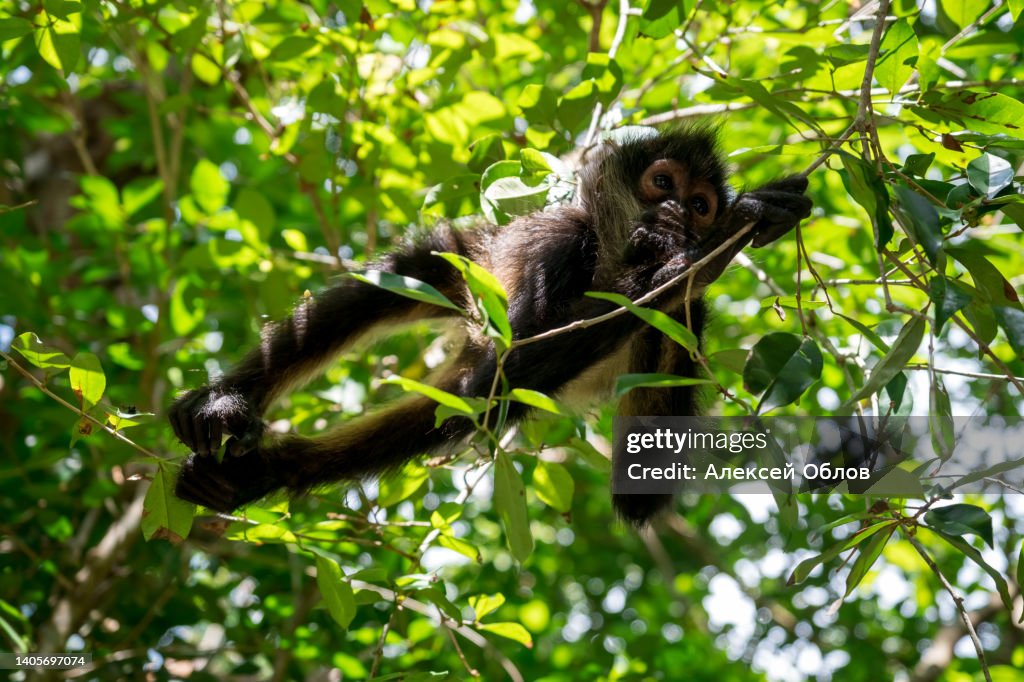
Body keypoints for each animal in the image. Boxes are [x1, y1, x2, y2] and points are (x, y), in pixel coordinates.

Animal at [169, 125, 812, 526]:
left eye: (699, 204)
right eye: (662, 183)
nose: (681, 215)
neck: (612, 263)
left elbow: (639, 494)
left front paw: (708, 252)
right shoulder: (557, 241)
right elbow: (499, 376)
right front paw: (711, 248)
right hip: (465, 264)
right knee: (396, 298)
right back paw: (224, 407)